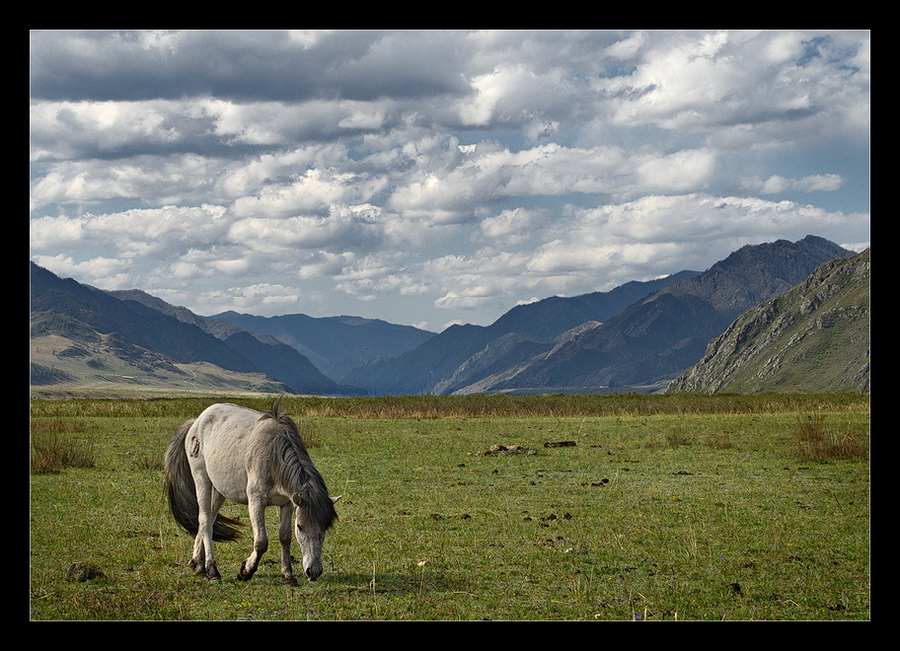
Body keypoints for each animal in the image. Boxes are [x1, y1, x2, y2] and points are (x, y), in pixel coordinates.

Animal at [163, 400, 340, 588]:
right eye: (300, 526)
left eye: (325, 527)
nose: (314, 572)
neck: (273, 455)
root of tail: (196, 422)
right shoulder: (256, 501)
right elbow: (261, 542)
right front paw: (245, 571)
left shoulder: (287, 503)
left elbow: (285, 537)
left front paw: (288, 576)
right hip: (201, 478)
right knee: (204, 519)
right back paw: (212, 571)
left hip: (219, 489)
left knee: (209, 519)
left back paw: (198, 564)